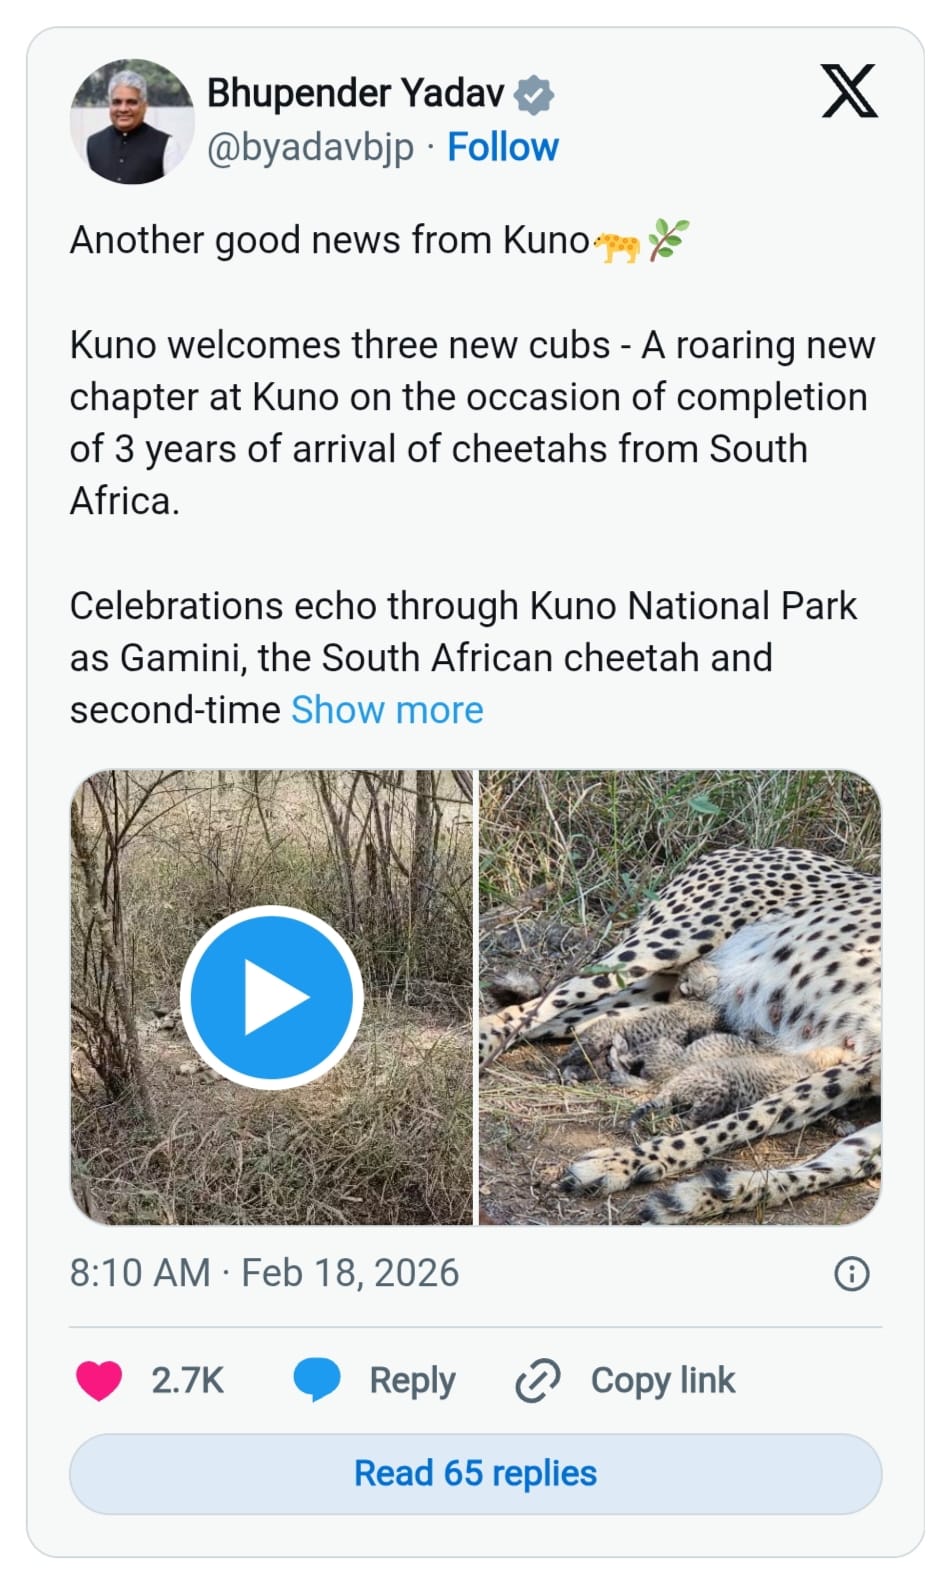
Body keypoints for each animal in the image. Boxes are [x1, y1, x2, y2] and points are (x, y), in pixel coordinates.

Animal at [479, 846, 881, 1222]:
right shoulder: (856, 1065)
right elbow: (754, 1117)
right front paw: (624, 1161)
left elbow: (837, 1164)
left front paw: (707, 1195)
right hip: (668, 942)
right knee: (536, 1004)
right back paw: (473, 1049)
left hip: (654, 992)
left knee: (566, 1021)